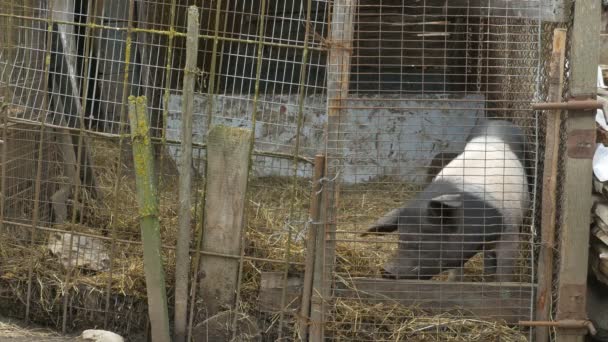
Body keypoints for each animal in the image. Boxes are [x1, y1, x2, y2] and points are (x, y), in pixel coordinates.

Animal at [364, 120, 528, 284]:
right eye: (400, 239)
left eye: (422, 242)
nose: (386, 271)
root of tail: (497, 121)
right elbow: (457, 267)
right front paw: (452, 282)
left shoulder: (510, 230)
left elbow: (504, 270)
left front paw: (501, 284)